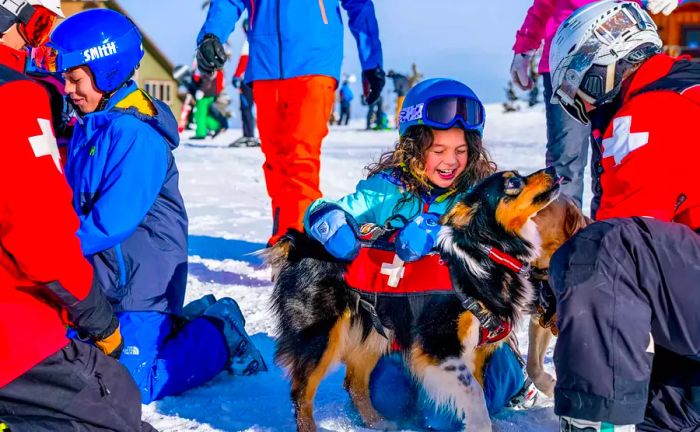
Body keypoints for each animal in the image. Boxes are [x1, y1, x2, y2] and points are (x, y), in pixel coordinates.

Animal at [268, 167, 564, 430]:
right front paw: (481, 426)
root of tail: (300, 244)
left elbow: (477, 394)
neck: (487, 253)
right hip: (319, 337)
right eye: (513, 182)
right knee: (301, 395)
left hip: (372, 334)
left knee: (354, 383)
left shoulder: (478, 350)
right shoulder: (439, 344)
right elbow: (474, 394)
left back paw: (380, 424)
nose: (552, 170)